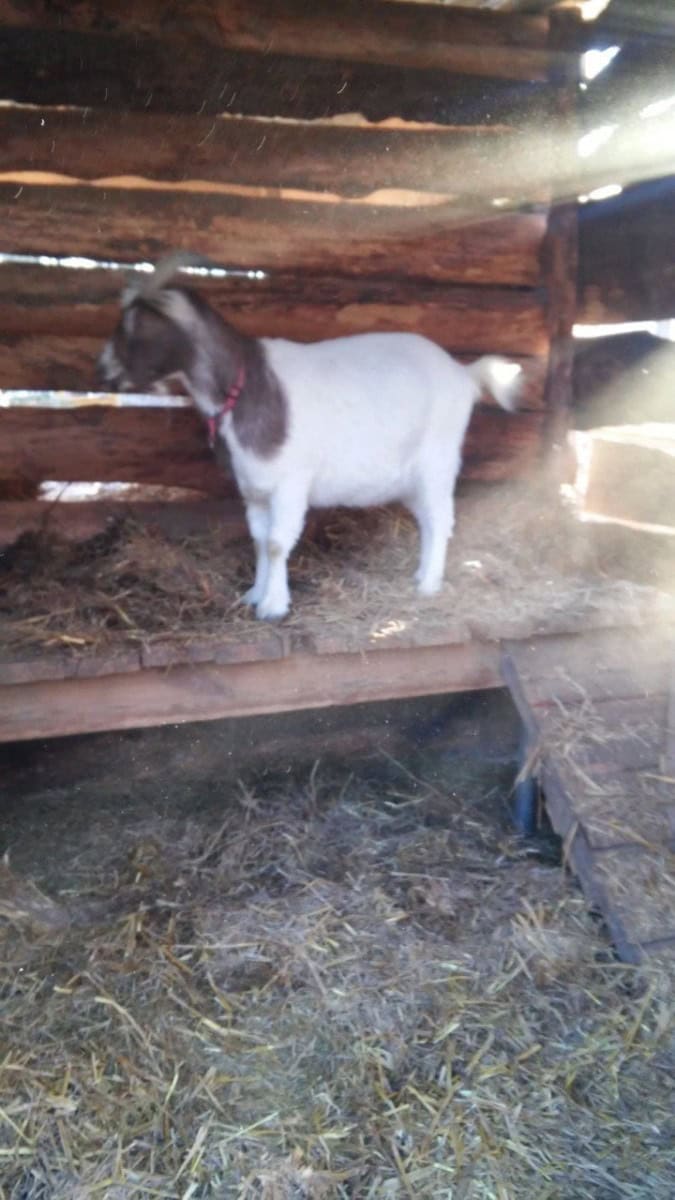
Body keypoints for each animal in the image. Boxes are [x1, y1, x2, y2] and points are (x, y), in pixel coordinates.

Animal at [96, 259, 521, 624]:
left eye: (133, 327)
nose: (103, 371)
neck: (247, 385)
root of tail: (463, 373)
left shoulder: (291, 483)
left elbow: (276, 543)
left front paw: (273, 606)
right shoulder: (254, 488)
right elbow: (258, 540)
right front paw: (254, 594)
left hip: (438, 459)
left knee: (441, 518)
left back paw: (429, 586)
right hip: (411, 476)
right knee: (427, 520)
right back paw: (419, 575)